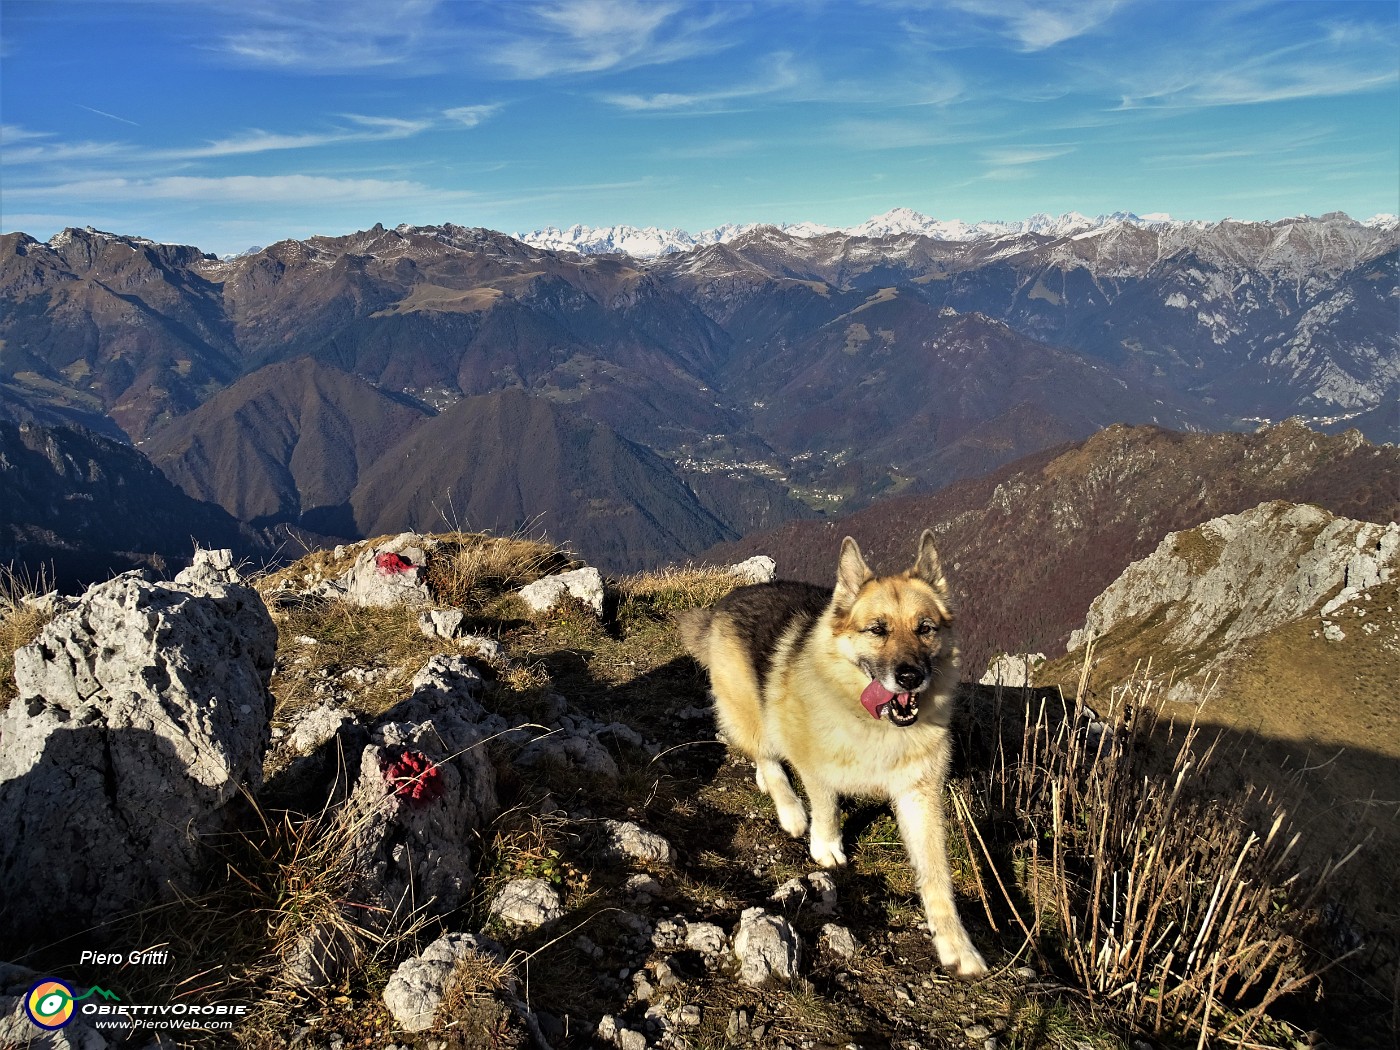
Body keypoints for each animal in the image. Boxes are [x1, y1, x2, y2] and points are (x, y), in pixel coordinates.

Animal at [674, 529, 985, 985]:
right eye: (877, 629)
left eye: (925, 628)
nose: (910, 676)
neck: (874, 725)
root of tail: (728, 601)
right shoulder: (816, 765)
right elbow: (826, 807)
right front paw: (826, 846)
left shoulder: (920, 796)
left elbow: (936, 875)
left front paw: (956, 945)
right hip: (752, 712)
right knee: (767, 755)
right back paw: (788, 808)